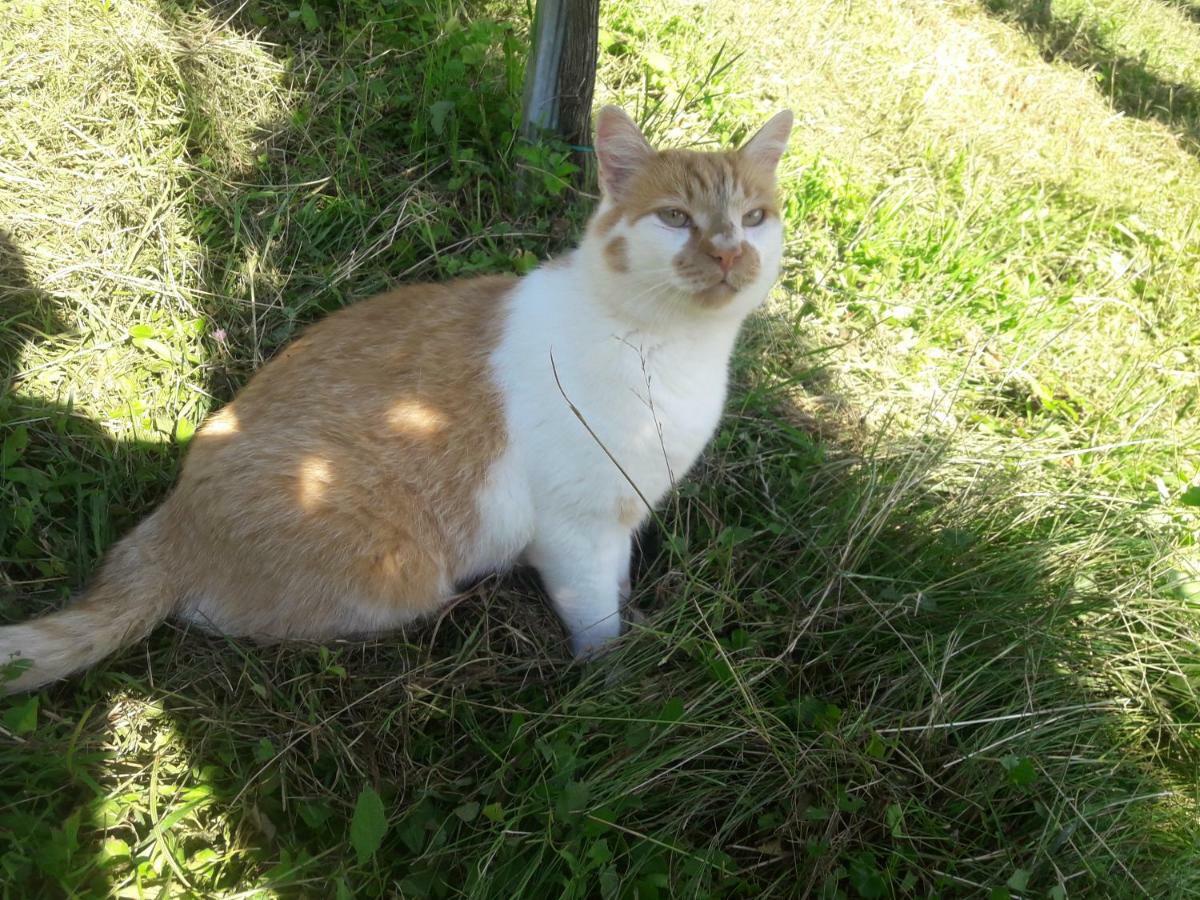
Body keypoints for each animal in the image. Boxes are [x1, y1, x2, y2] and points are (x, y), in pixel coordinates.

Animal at [0, 107, 792, 696]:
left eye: (753, 217)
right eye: (676, 218)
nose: (729, 252)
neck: (670, 349)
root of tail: (168, 523)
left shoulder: (623, 515)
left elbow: (621, 587)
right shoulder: (578, 532)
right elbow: (598, 623)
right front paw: (615, 684)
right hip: (401, 571)